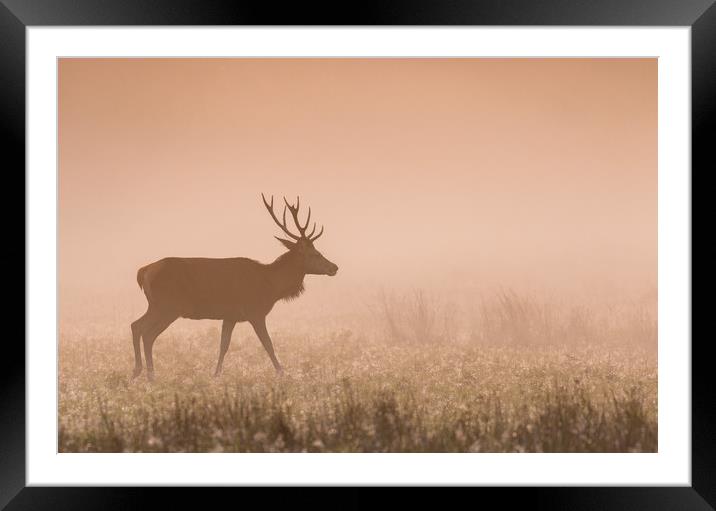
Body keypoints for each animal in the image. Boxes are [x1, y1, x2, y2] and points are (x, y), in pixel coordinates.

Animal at [131, 195, 338, 380]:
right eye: (314, 253)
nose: (334, 267)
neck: (271, 286)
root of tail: (144, 271)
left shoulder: (230, 316)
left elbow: (224, 345)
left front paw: (215, 376)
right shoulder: (255, 311)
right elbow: (268, 343)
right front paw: (282, 374)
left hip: (156, 305)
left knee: (136, 325)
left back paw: (137, 372)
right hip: (168, 305)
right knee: (147, 333)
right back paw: (150, 375)